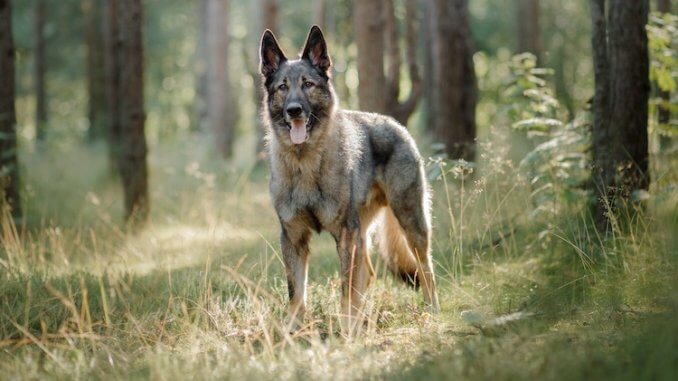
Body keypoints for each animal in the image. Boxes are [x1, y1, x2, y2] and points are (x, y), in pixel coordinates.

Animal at [260, 26, 440, 332]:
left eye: (308, 84)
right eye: (283, 87)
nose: (294, 110)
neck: (306, 164)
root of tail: (396, 125)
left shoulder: (345, 235)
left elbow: (346, 290)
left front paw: (347, 333)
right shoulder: (294, 238)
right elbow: (296, 293)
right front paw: (292, 333)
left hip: (410, 224)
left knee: (426, 270)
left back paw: (432, 312)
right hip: (363, 235)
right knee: (368, 275)